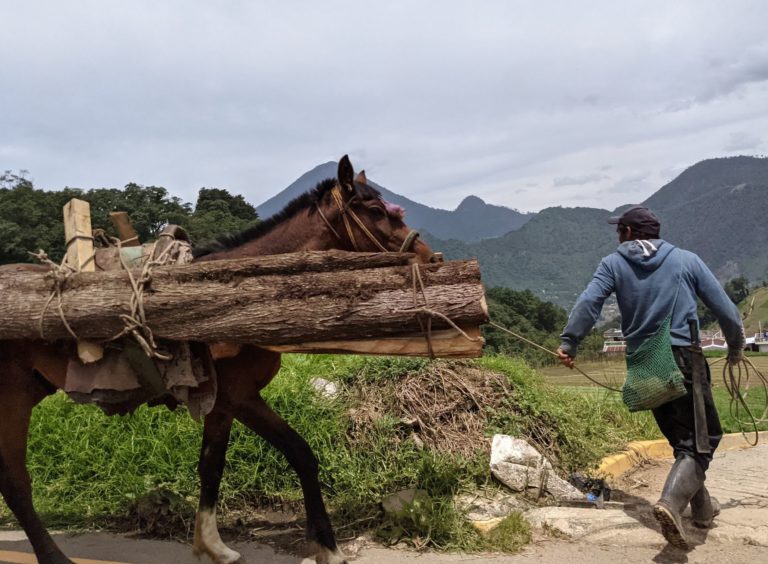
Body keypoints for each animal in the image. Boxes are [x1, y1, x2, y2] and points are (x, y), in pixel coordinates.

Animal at [0, 155, 438, 564]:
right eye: (377, 210)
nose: (429, 258)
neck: (243, 292)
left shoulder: (220, 402)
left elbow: (211, 467)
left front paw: (212, 546)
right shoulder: (240, 396)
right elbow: (301, 455)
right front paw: (327, 546)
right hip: (12, 396)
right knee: (15, 481)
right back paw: (53, 555)